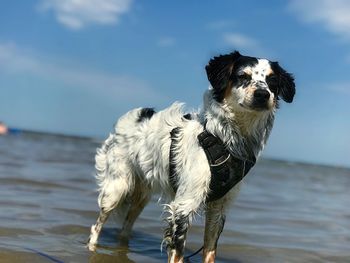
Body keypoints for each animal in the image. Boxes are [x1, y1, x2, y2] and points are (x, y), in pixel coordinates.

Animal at [87, 50, 296, 262]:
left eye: (272, 81)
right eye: (243, 76)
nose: (263, 94)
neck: (223, 139)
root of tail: (132, 116)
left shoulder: (219, 207)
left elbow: (210, 250)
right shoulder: (183, 206)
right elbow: (177, 252)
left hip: (141, 195)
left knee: (125, 228)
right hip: (117, 187)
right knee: (96, 226)